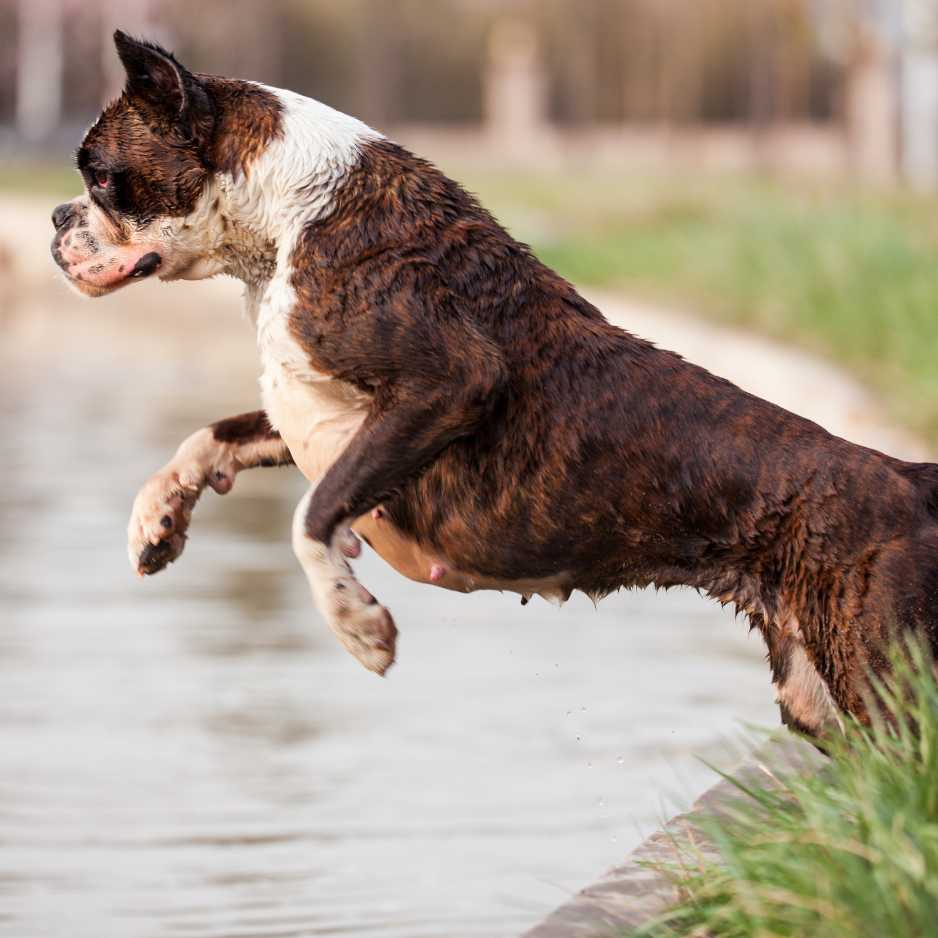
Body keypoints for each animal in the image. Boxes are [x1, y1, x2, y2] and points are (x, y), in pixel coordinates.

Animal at [53, 31, 936, 740]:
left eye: (100, 179)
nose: (58, 218)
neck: (284, 218)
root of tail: (906, 479)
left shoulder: (443, 386)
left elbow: (311, 516)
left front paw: (357, 625)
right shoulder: (306, 411)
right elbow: (210, 437)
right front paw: (156, 521)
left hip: (879, 683)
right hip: (817, 694)